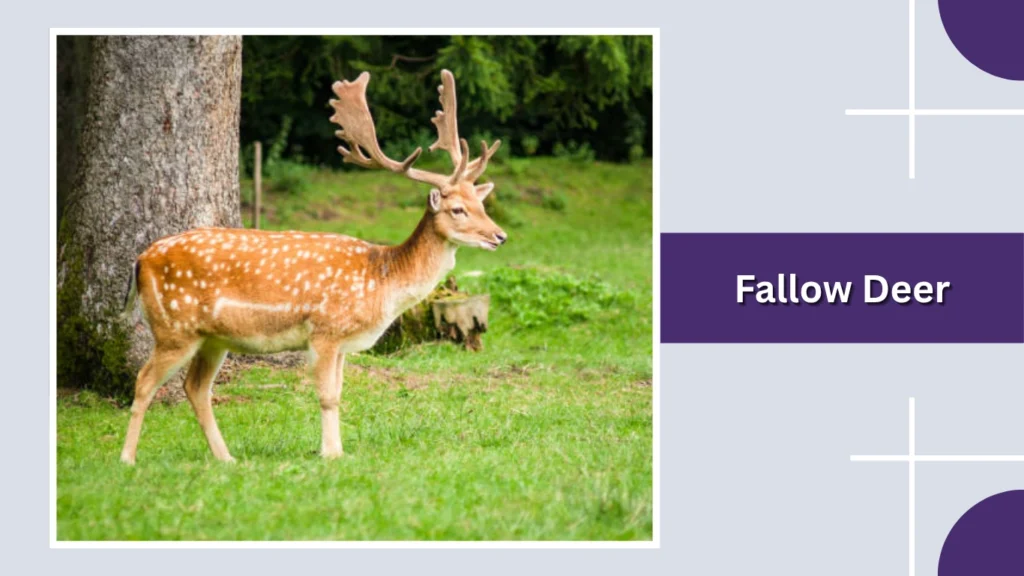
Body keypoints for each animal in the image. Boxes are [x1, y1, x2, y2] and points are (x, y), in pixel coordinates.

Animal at [119, 70, 507, 464]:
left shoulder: (342, 343)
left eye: (482, 203)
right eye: (457, 209)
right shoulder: (325, 330)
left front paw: (335, 450)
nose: (500, 236)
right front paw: (331, 454)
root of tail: (140, 259)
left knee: (195, 387)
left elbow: (338, 394)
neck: (381, 280)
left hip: (212, 337)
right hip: (174, 327)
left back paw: (226, 458)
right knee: (145, 381)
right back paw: (127, 458)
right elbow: (327, 396)